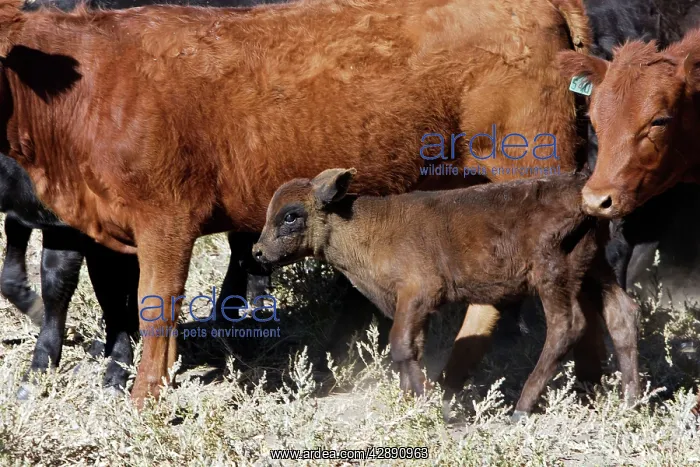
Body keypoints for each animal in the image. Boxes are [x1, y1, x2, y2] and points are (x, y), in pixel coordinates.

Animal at [0, 0, 590, 407]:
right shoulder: (103, 229)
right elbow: (113, 301)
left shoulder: (165, 221)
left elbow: (154, 306)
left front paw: (145, 399)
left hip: (529, 169)